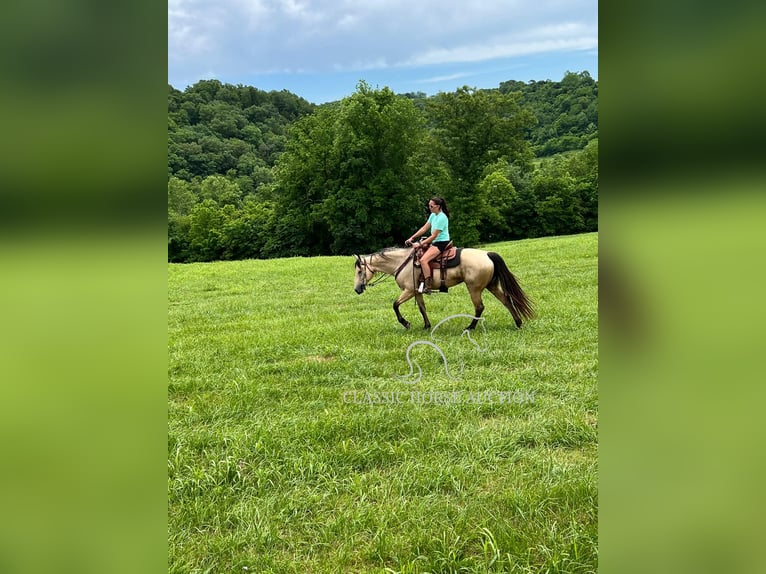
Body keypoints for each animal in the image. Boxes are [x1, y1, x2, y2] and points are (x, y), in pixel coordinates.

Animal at [354, 245, 536, 330]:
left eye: (359, 270)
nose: (357, 289)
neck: (402, 263)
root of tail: (486, 254)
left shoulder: (408, 291)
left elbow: (395, 305)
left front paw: (406, 323)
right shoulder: (416, 291)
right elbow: (422, 308)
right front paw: (427, 326)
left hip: (474, 288)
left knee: (479, 307)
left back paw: (470, 327)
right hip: (491, 285)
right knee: (506, 300)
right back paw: (518, 322)